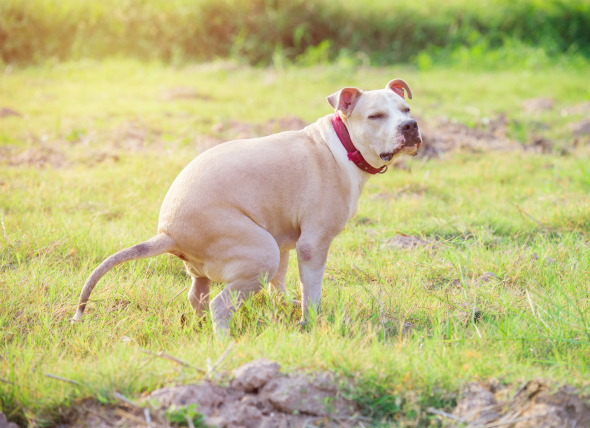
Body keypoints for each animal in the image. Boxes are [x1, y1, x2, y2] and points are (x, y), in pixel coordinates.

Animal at [74, 79, 424, 334]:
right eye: (375, 116)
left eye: (407, 109)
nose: (410, 126)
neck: (343, 144)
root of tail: (167, 233)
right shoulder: (312, 245)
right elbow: (311, 291)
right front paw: (308, 323)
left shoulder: (285, 240)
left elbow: (279, 283)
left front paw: (286, 306)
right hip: (260, 252)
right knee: (219, 305)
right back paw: (223, 344)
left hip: (221, 263)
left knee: (198, 296)